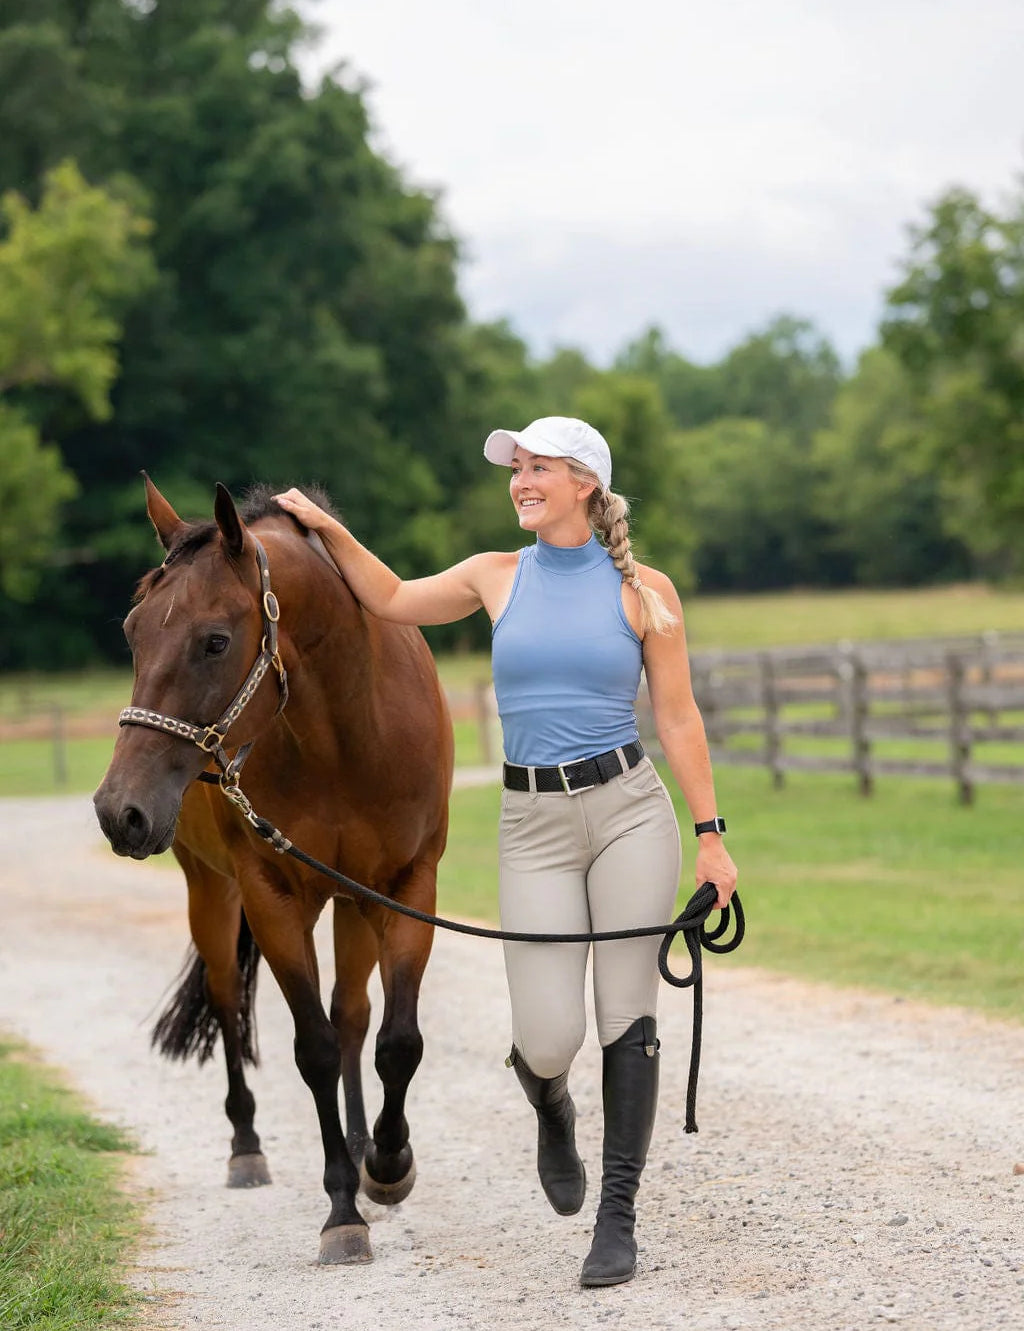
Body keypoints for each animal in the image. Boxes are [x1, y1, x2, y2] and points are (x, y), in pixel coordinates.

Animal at [93, 475, 454, 1265]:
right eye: (133, 632)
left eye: (215, 641)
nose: (117, 810)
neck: (347, 732)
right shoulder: (273, 897)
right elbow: (312, 1047)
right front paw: (343, 1211)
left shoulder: (405, 886)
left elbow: (393, 1040)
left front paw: (387, 1164)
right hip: (212, 893)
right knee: (229, 1002)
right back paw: (247, 1147)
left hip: (350, 901)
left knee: (353, 1014)